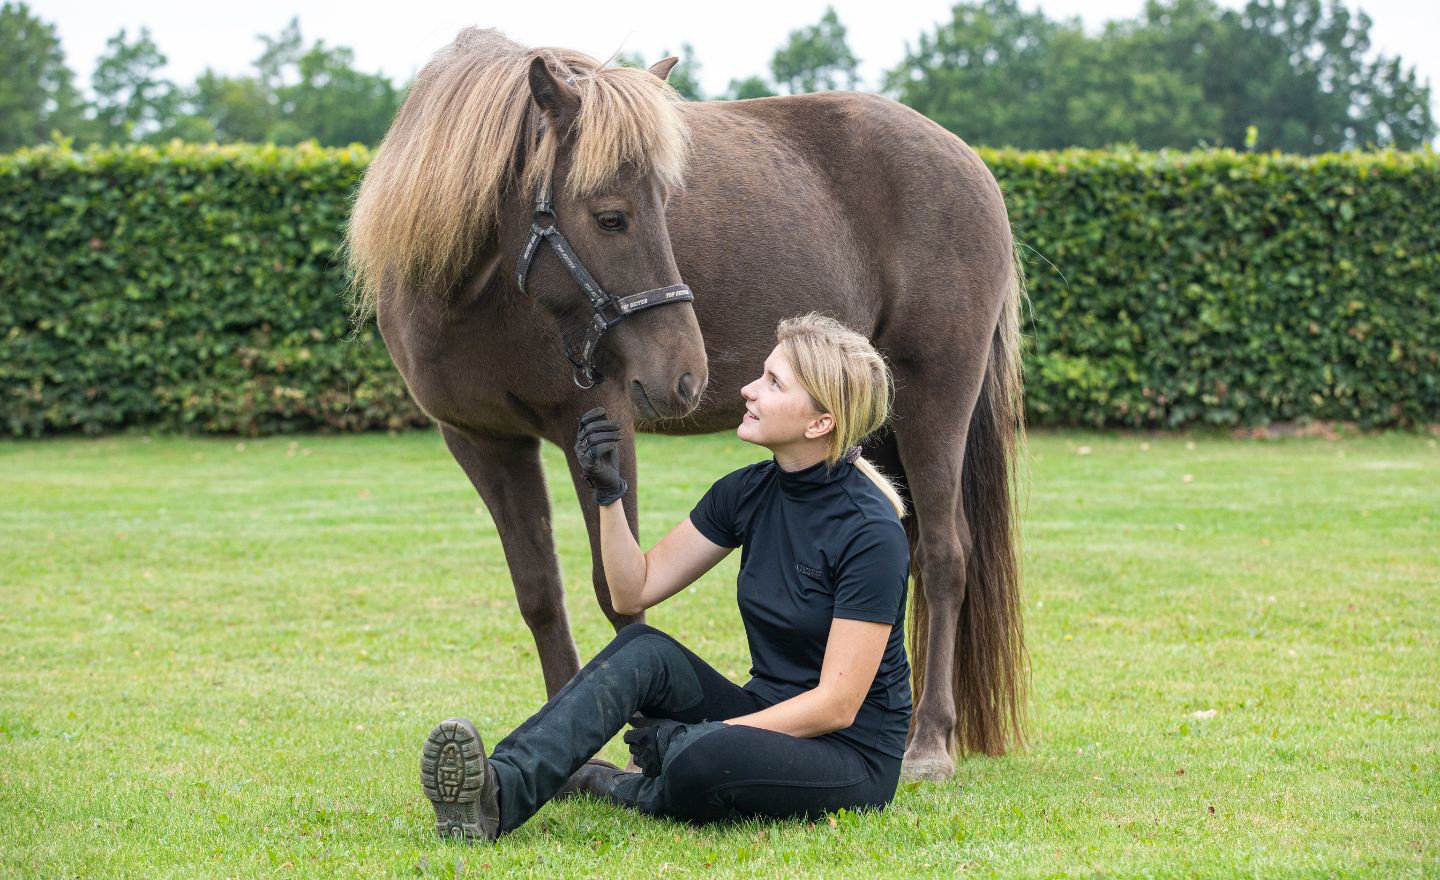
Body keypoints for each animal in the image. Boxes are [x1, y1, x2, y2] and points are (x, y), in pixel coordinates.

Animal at [344, 29, 1031, 783]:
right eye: (610, 216)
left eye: (664, 205)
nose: (684, 374)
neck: (477, 293)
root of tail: (972, 165)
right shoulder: (483, 443)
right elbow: (541, 595)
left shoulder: (602, 422)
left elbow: (619, 594)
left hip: (935, 395)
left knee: (943, 554)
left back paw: (929, 742)